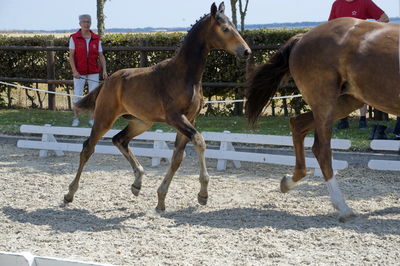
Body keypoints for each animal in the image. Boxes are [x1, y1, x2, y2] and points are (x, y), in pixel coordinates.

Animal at [247, 18, 400, 222]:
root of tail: (303, 37)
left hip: (345, 101)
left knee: (298, 124)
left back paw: (289, 181)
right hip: (325, 101)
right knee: (322, 150)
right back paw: (343, 208)